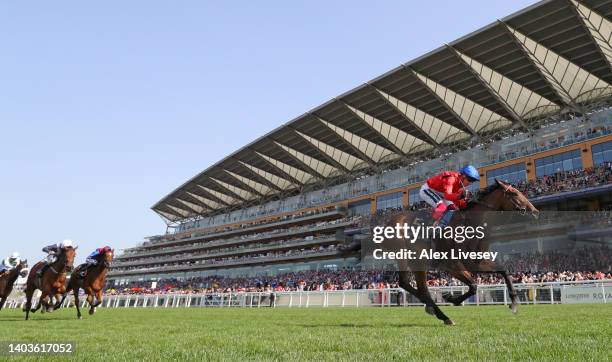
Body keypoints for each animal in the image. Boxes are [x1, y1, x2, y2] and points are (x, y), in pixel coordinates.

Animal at [384, 180, 536, 324]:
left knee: (411, 285)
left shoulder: (476, 261)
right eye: (515, 194)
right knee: (414, 285)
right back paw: (441, 314)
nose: (535, 211)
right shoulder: (450, 264)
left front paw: (514, 303)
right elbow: (473, 285)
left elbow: (502, 271)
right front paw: (452, 298)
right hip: (410, 258)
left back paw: (432, 309)